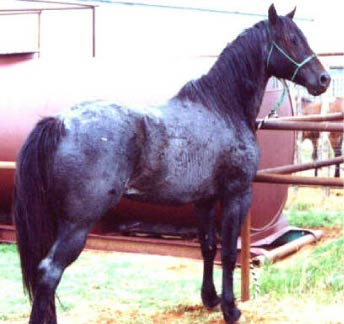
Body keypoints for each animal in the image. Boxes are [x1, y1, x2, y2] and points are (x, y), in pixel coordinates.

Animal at [14, 3, 330, 322]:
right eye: (292, 39)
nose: (324, 79)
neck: (222, 109)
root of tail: (59, 122)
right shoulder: (236, 195)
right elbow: (229, 253)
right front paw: (230, 308)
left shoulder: (205, 201)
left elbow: (208, 247)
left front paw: (210, 298)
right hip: (78, 224)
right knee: (49, 272)